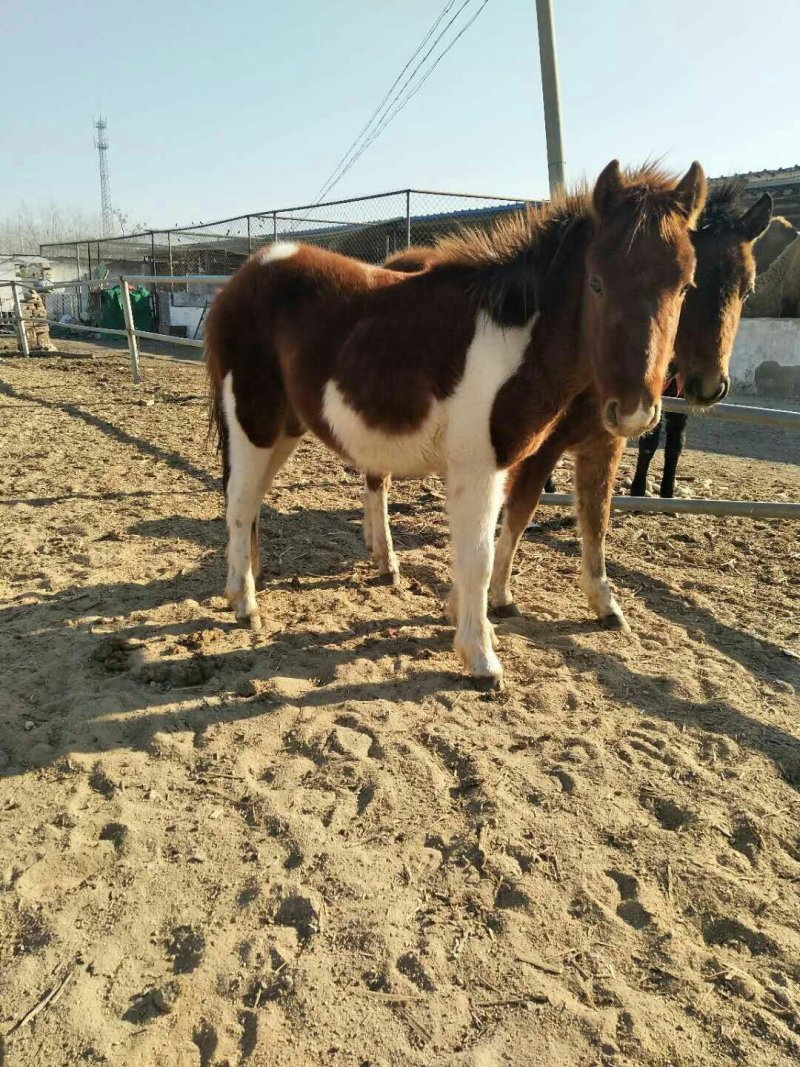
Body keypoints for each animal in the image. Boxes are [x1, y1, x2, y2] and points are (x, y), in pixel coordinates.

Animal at [206, 161, 705, 688]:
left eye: (685, 286)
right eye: (596, 282)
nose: (633, 412)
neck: (513, 337)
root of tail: (243, 277)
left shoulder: (503, 466)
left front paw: (462, 619)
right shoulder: (477, 467)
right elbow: (478, 559)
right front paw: (481, 658)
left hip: (284, 427)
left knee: (249, 502)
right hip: (254, 421)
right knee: (240, 504)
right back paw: (246, 606)